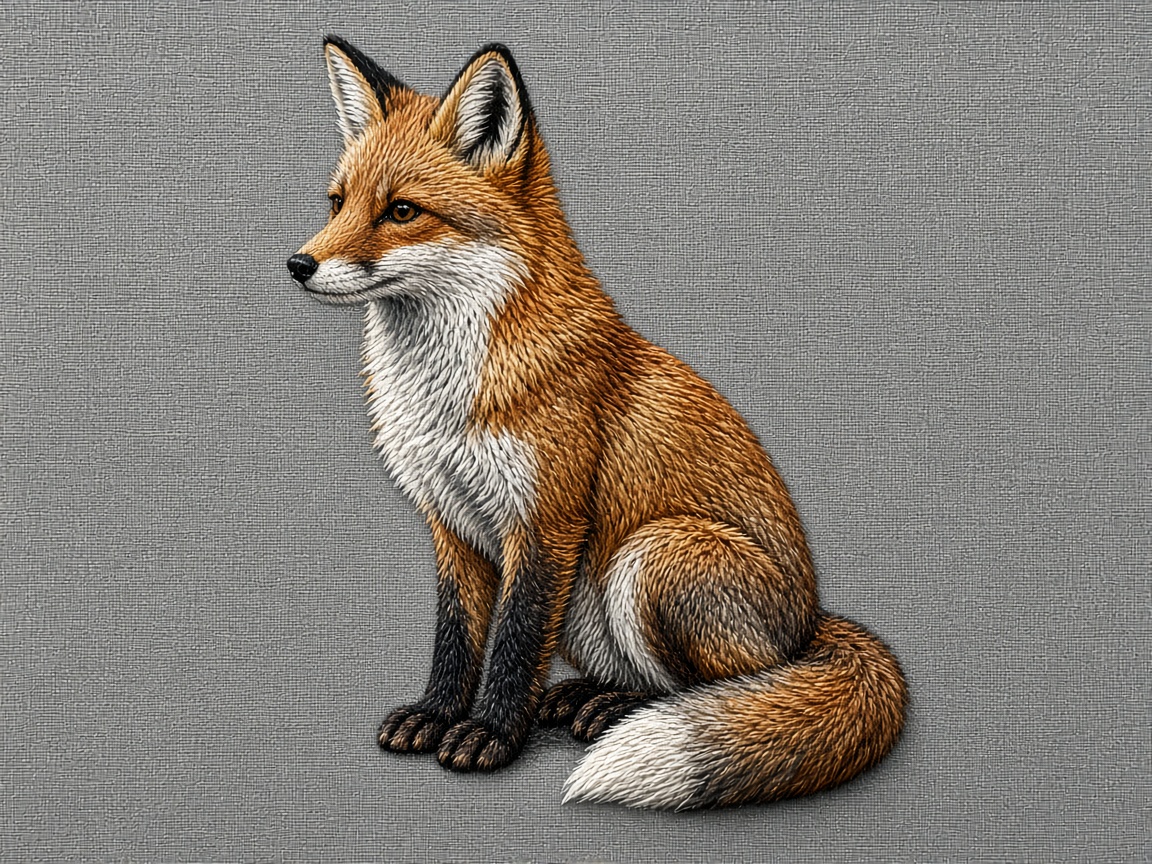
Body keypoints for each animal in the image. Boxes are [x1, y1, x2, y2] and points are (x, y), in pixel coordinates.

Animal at [286, 37, 907, 810]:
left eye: (402, 210)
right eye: (338, 202)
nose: (299, 263)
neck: (443, 391)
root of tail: (812, 623)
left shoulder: (547, 520)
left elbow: (515, 642)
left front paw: (489, 735)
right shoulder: (450, 524)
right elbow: (456, 640)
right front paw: (435, 714)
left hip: (655, 554)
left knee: (726, 686)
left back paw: (619, 709)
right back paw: (590, 697)